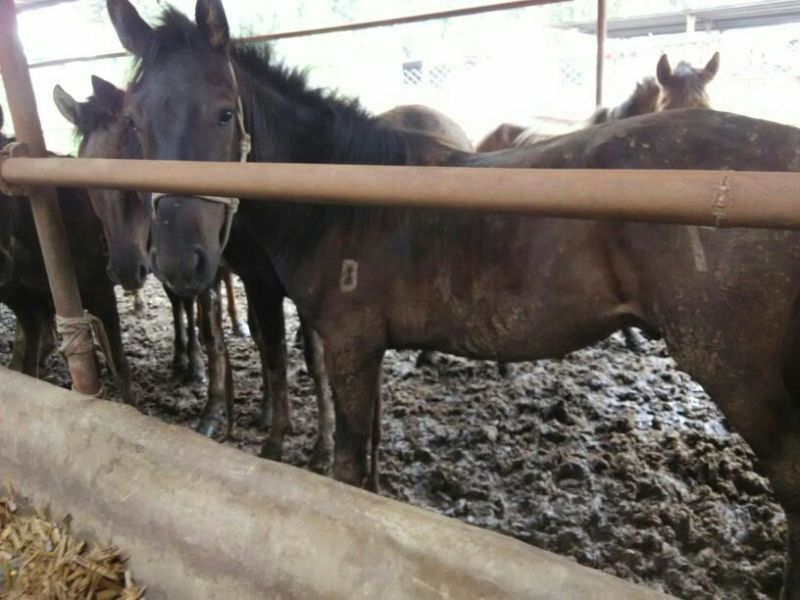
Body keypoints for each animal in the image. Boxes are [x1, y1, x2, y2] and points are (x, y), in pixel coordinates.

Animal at [54, 74, 333, 468]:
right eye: (85, 179)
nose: (124, 269)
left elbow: (307, 356)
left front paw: (321, 445)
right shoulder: (206, 271)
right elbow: (212, 335)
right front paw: (212, 405)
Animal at [107, 2, 800, 596]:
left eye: (225, 112)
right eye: (135, 124)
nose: (180, 261)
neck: (342, 195)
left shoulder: (350, 342)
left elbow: (349, 466)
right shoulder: (364, 347)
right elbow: (372, 455)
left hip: (740, 373)